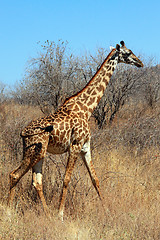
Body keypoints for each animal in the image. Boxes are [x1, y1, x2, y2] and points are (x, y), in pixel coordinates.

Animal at [8, 40, 143, 219]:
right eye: (128, 53)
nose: (140, 63)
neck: (87, 108)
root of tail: (22, 133)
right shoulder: (75, 145)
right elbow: (66, 178)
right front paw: (60, 214)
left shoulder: (85, 147)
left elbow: (95, 179)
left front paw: (106, 210)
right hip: (33, 152)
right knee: (14, 174)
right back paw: (8, 211)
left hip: (39, 153)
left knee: (37, 182)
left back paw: (46, 213)